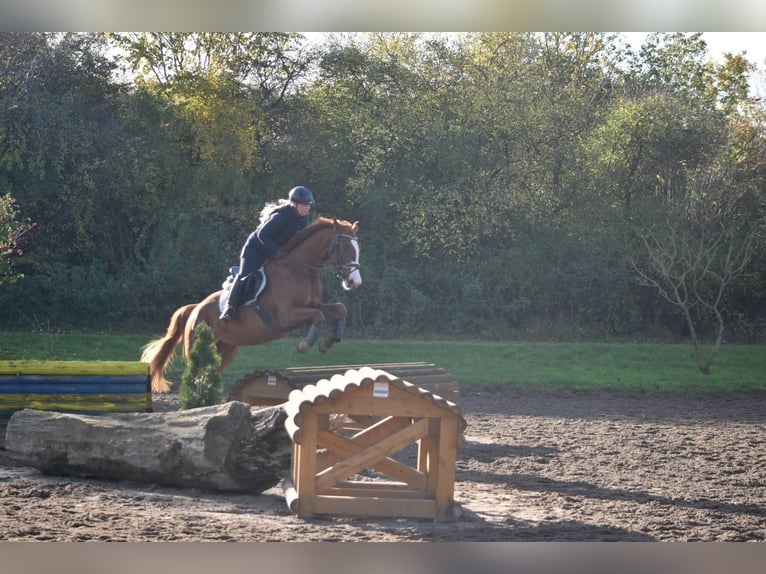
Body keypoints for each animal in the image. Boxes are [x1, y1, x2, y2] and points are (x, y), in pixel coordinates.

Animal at [143, 218, 364, 394]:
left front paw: (329, 342)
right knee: (196, 376)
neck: (300, 269)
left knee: (209, 376)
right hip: (196, 347)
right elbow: (318, 316)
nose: (354, 282)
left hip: (227, 349)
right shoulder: (286, 316)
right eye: (345, 247)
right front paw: (305, 344)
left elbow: (339, 309)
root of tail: (195, 308)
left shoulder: (314, 304)